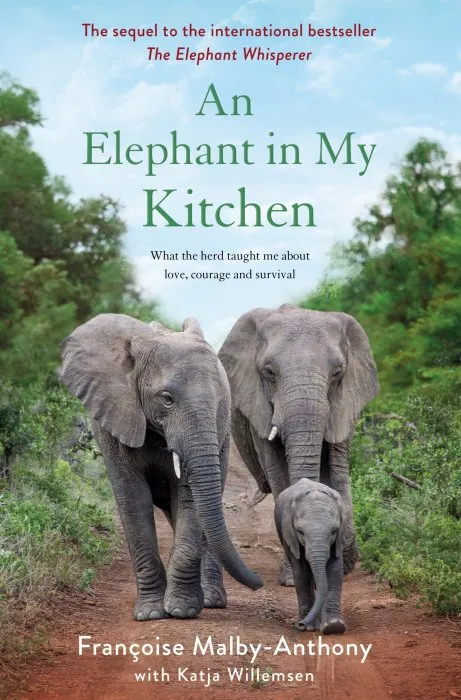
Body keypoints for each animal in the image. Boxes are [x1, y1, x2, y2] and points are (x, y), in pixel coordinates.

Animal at [60, 313, 262, 621]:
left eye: (220, 403)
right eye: (167, 399)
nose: (260, 584)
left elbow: (188, 498)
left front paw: (181, 610)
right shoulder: (113, 419)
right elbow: (133, 500)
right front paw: (150, 614)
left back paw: (212, 600)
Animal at [218, 304, 379, 583]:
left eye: (337, 373)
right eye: (269, 372)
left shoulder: (345, 402)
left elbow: (338, 471)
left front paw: (343, 565)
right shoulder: (259, 409)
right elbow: (278, 473)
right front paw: (293, 577)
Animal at [275, 478, 346, 634]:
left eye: (334, 531)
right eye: (300, 532)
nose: (301, 624)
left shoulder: (339, 539)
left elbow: (335, 570)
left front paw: (333, 626)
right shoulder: (290, 534)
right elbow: (301, 572)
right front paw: (308, 628)